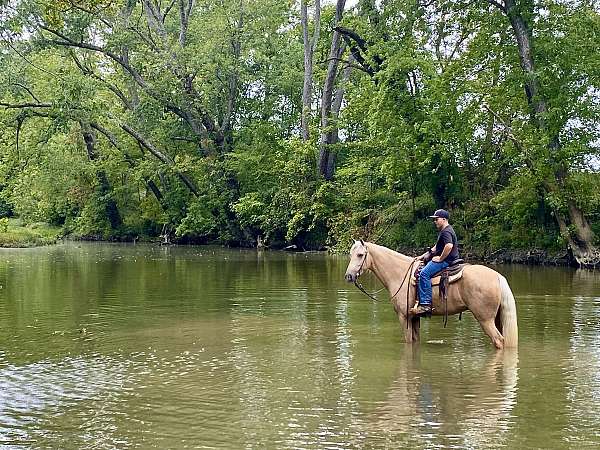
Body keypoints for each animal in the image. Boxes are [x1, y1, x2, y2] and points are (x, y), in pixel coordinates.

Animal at [344, 241, 516, 350]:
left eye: (360, 255)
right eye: (351, 255)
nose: (348, 276)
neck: (400, 274)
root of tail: (498, 276)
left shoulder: (403, 317)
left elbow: (408, 341)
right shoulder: (414, 318)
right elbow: (415, 341)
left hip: (485, 319)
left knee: (499, 341)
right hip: (497, 318)